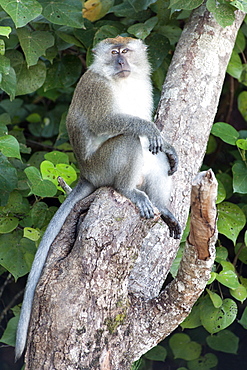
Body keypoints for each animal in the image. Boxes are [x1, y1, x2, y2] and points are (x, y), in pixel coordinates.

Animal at [15, 36, 181, 360]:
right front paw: (150, 129)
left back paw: (162, 207)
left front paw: (168, 145)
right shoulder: (98, 89)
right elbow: (109, 121)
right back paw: (129, 190)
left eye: (125, 51)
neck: (121, 80)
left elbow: (155, 142)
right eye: (114, 52)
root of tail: (86, 174)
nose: (121, 62)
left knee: (152, 155)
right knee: (129, 140)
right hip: (104, 167)